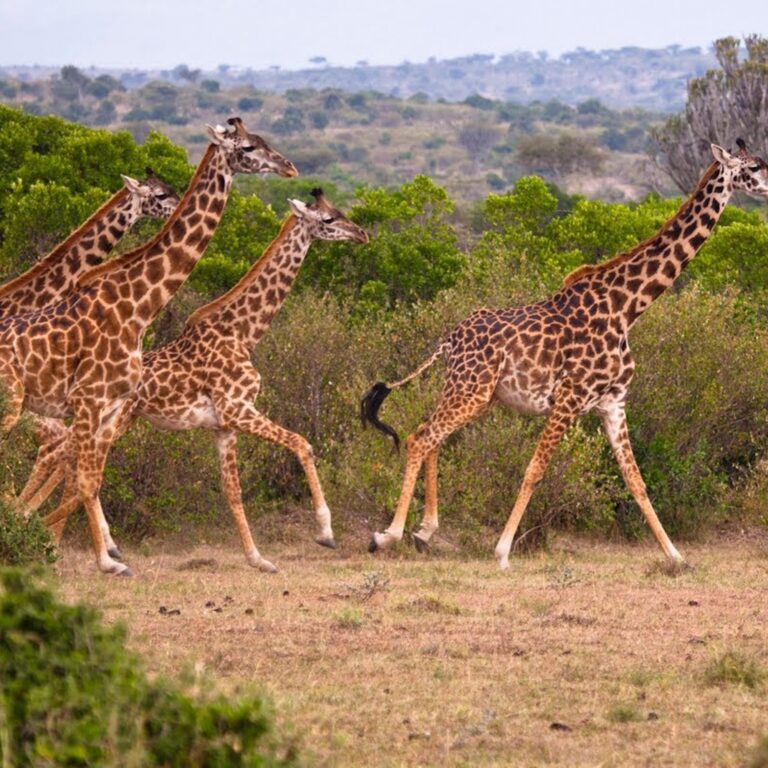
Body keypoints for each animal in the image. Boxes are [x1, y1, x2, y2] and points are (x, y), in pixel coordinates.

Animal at [0, 117, 297, 575]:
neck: (137, 308)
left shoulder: (108, 404)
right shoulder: (87, 399)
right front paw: (105, 561)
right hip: (13, 403)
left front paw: (104, 554)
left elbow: (90, 477)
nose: (288, 167)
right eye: (247, 147)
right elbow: (83, 476)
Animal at [25, 190, 368, 572]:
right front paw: (325, 532)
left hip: (112, 420)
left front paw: (258, 558)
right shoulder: (238, 409)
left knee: (68, 462)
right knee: (63, 458)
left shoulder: (224, 425)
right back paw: (35, 524)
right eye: (328, 219)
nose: (362, 234)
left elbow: (233, 489)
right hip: (113, 419)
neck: (243, 333)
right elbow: (302, 443)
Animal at [361, 140, 768, 569]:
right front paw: (502, 552)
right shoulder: (570, 398)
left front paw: (676, 557)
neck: (628, 308)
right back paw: (387, 535)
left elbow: (636, 481)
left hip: (476, 394)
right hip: (469, 391)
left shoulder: (613, 402)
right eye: (753, 166)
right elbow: (535, 470)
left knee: (432, 437)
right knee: (420, 437)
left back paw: (424, 533)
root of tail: (449, 340)